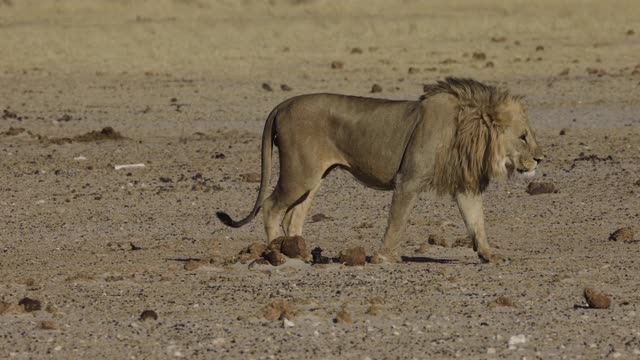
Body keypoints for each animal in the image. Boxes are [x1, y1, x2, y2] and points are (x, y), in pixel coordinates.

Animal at [218, 77, 544, 262]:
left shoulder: (466, 185)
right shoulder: (408, 179)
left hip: (314, 178)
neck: (468, 131)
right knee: (272, 206)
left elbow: (476, 221)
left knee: (294, 216)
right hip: (299, 174)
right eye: (523, 136)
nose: (541, 159)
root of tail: (281, 104)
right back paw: (277, 251)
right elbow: (396, 221)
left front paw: (489, 255)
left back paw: (303, 254)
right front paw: (383, 257)